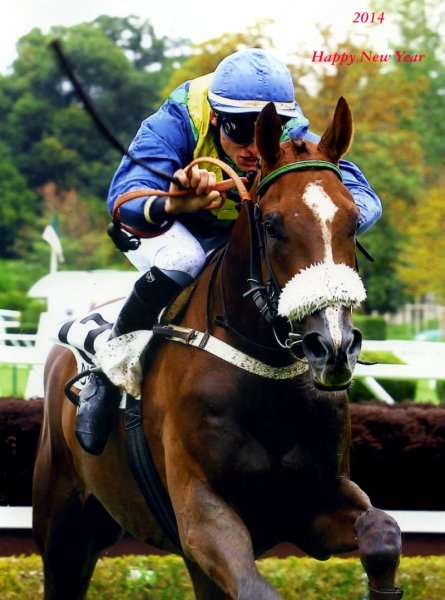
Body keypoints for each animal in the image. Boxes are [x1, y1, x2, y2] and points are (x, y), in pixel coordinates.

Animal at [32, 97, 403, 600]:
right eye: (272, 224)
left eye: (352, 220)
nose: (333, 347)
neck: (264, 376)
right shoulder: (200, 513)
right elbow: (254, 589)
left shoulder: (314, 503)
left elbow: (383, 535)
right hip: (64, 527)